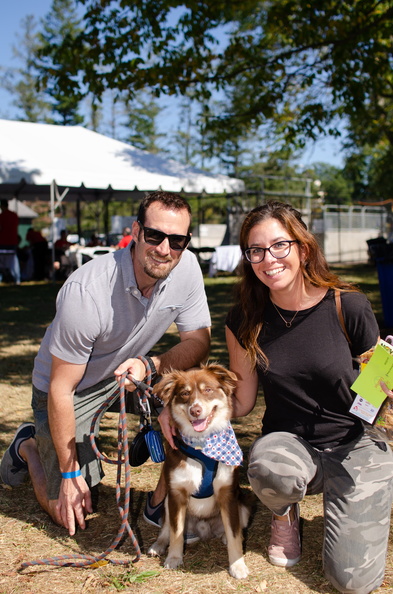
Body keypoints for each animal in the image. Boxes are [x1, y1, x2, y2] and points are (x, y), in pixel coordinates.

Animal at [145, 360, 250, 580]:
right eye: (185, 393)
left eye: (208, 390)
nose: (195, 410)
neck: (203, 446)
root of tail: (204, 529)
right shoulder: (176, 493)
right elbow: (176, 533)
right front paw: (174, 558)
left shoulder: (228, 493)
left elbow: (234, 534)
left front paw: (237, 565)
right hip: (167, 502)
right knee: (166, 529)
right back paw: (158, 546)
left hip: (244, 505)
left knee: (231, 530)